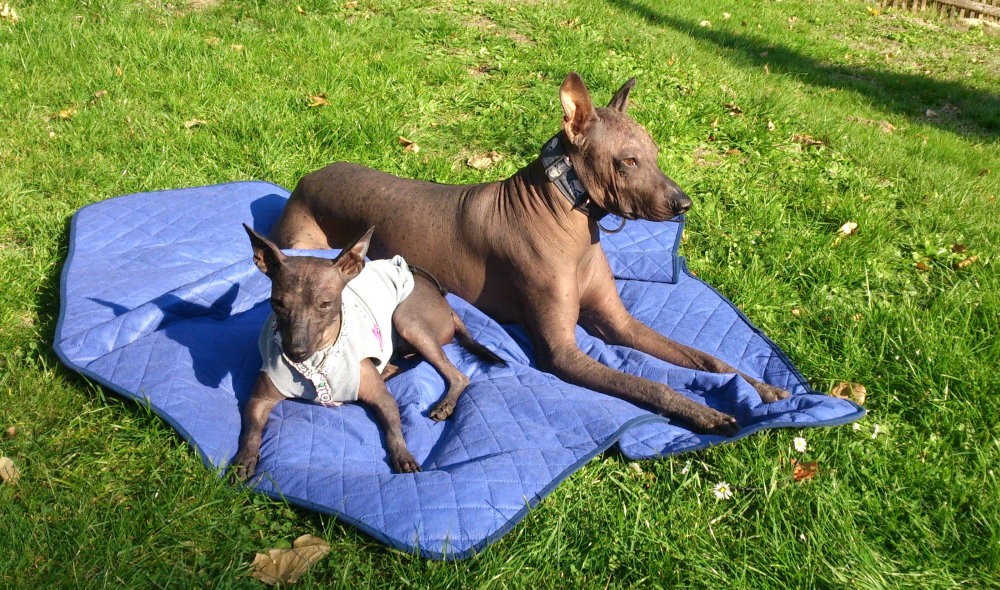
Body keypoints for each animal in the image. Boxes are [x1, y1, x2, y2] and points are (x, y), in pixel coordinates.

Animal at [272, 73, 788, 434]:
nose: (684, 204)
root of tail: (310, 175)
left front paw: (760, 387)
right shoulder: (561, 353)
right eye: (627, 161)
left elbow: (707, 359)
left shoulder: (619, 324)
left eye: (656, 154)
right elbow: (650, 383)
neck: (572, 220)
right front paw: (704, 413)